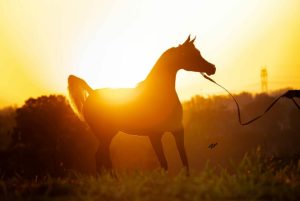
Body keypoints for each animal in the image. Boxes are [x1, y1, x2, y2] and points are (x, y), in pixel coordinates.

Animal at [68, 36, 216, 174]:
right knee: (100, 157)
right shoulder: (155, 135)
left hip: (108, 135)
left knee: (103, 157)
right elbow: (164, 163)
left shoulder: (178, 130)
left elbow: (184, 160)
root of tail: (92, 93)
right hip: (105, 134)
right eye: (191, 54)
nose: (212, 68)